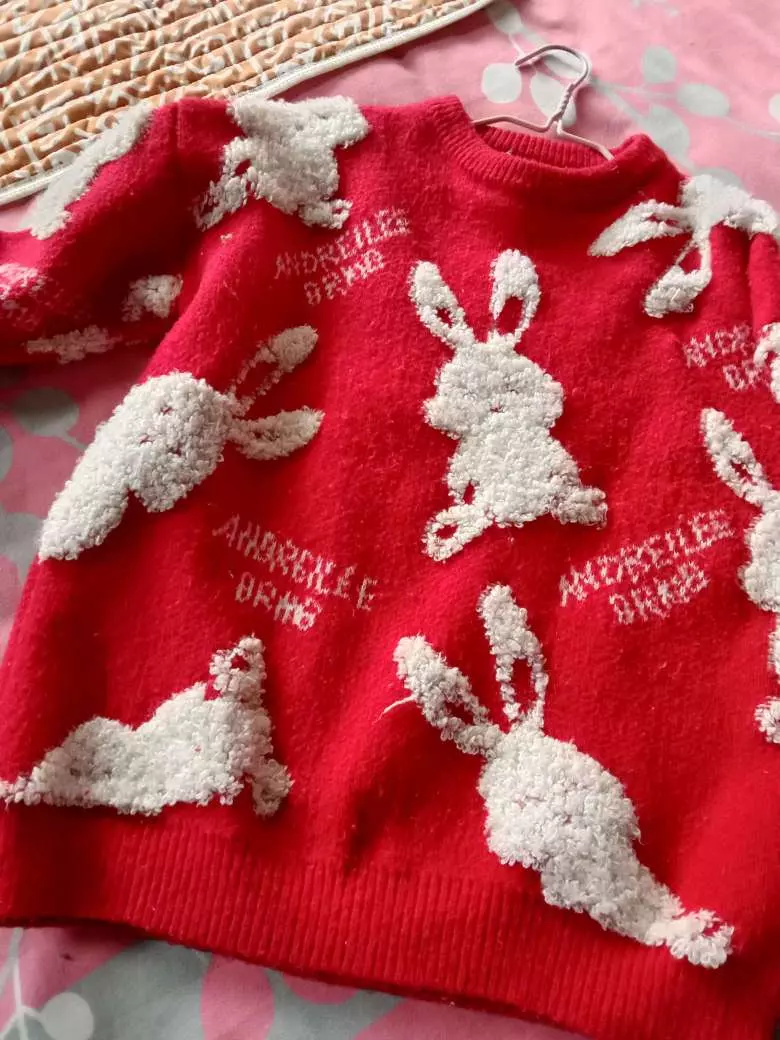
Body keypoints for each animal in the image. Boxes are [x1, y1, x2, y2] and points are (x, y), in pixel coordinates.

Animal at [410, 250, 606, 562]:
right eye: (467, 395)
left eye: (513, 388)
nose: (496, 406)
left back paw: (581, 503)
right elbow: (459, 480)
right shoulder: (467, 456)